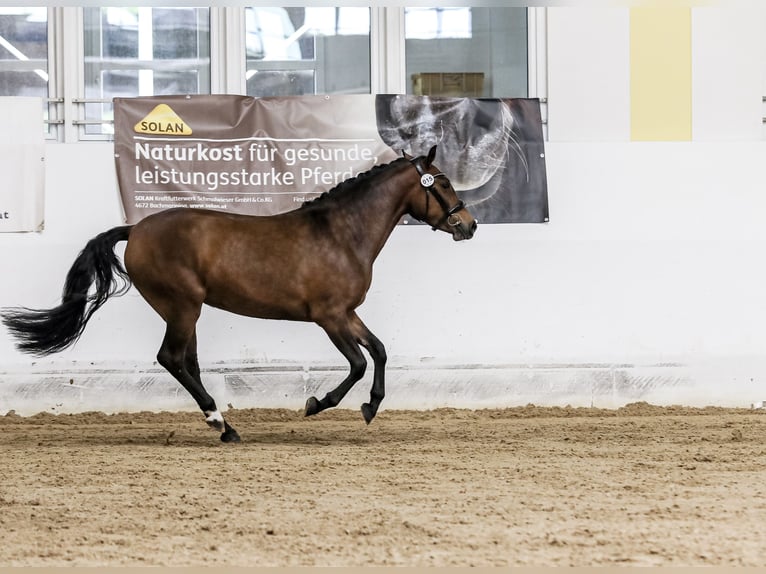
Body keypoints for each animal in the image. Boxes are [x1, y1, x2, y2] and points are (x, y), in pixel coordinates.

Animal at [3, 146, 476, 444]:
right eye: (443, 184)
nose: (468, 225)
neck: (341, 234)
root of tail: (135, 229)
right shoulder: (329, 317)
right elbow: (358, 363)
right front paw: (317, 404)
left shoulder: (348, 313)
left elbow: (377, 351)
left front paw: (371, 407)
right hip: (182, 306)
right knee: (171, 358)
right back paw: (220, 422)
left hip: (183, 311)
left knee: (186, 362)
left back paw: (225, 426)